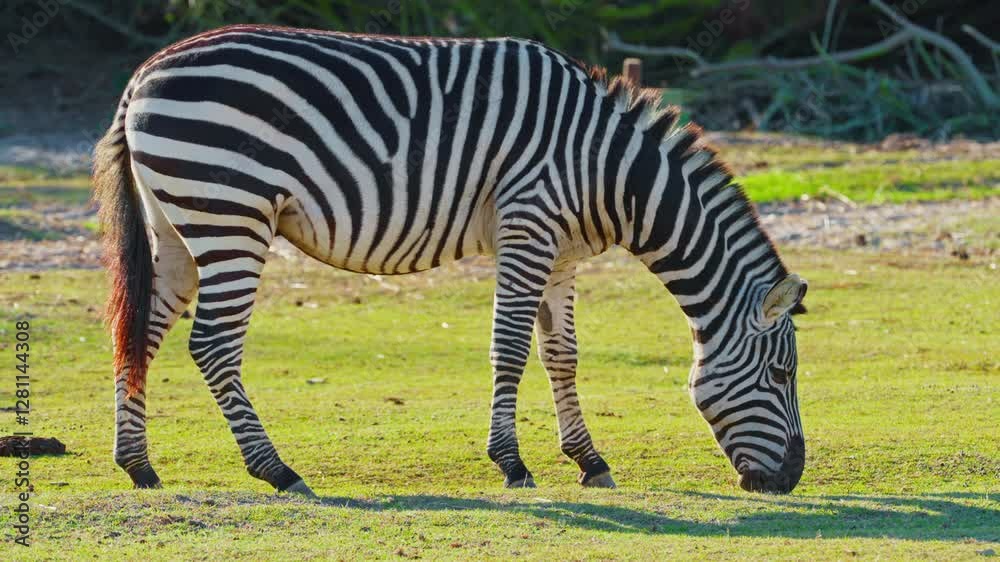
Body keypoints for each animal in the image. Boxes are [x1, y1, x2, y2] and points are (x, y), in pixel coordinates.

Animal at [94, 25, 808, 497]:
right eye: (780, 376)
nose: (792, 479)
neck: (608, 170)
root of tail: (141, 75)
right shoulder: (529, 225)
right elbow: (510, 348)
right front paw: (512, 464)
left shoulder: (562, 254)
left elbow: (562, 354)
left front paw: (589, 461)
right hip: (229, 212)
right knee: (212, 344)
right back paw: (278, 471)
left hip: (179, 224)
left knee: (140, 334)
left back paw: (138, 466)